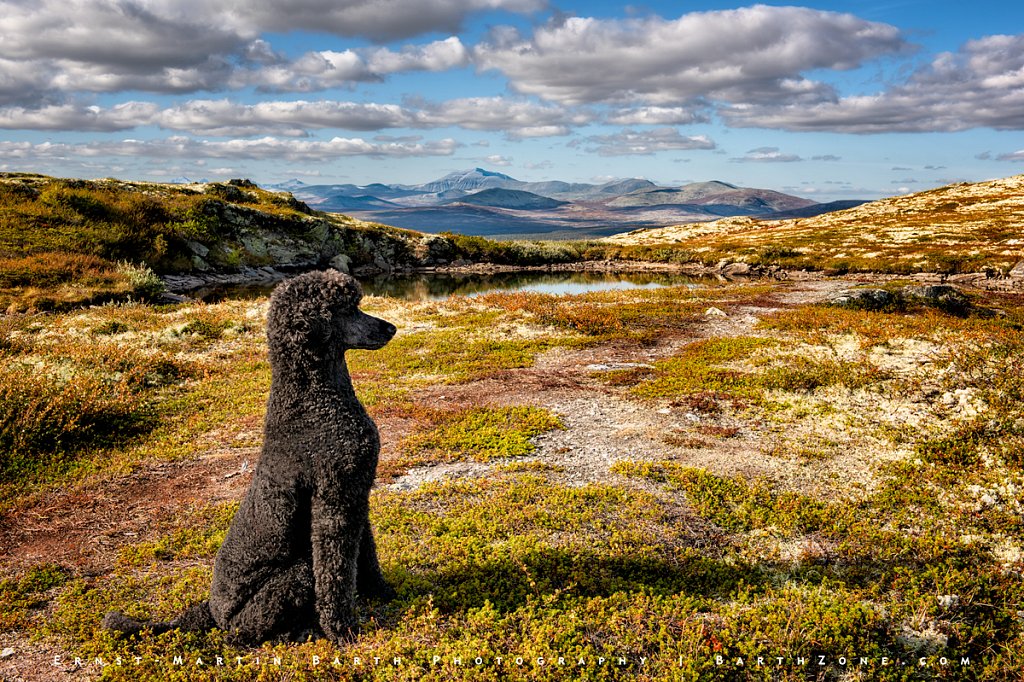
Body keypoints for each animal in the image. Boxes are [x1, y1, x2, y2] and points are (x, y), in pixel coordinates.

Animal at [103, 268, 397, 638]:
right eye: (345, 310)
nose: (391, 328)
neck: (313, 401)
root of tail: (211, 613)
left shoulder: (354, 493)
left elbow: (364, 553)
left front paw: (381, 592)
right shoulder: (334, 504)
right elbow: (335, 572)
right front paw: (341, 629)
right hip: (292, 579)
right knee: (246, 634)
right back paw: (294, 632)